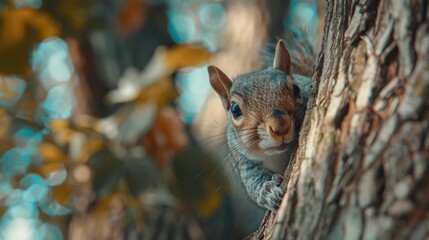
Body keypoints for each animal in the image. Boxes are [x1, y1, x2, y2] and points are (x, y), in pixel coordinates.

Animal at [206, 40, 310, 211]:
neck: (277, 154)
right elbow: (253, 180)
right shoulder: (243, 160)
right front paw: (268, 192)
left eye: (296, 89)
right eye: (235, 109)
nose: (280, 127)